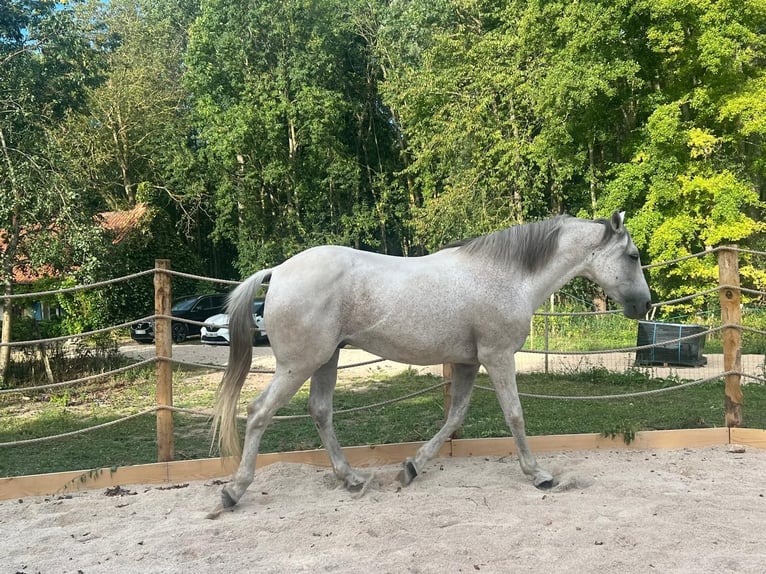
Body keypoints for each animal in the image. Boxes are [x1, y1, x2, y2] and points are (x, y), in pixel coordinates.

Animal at [207, 212, 652, 516]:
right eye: (632, 256)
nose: (644, 305)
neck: (509, 277)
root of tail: (278, 271)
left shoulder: (468, 363)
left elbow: (455, 416)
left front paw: (412, 467)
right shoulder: (498, 357)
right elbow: (514, 415)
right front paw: (539, 474)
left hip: (325, 360)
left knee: (320, 411)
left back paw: (351, 479)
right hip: (299, 364)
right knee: (259, 412)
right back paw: (233, 491)